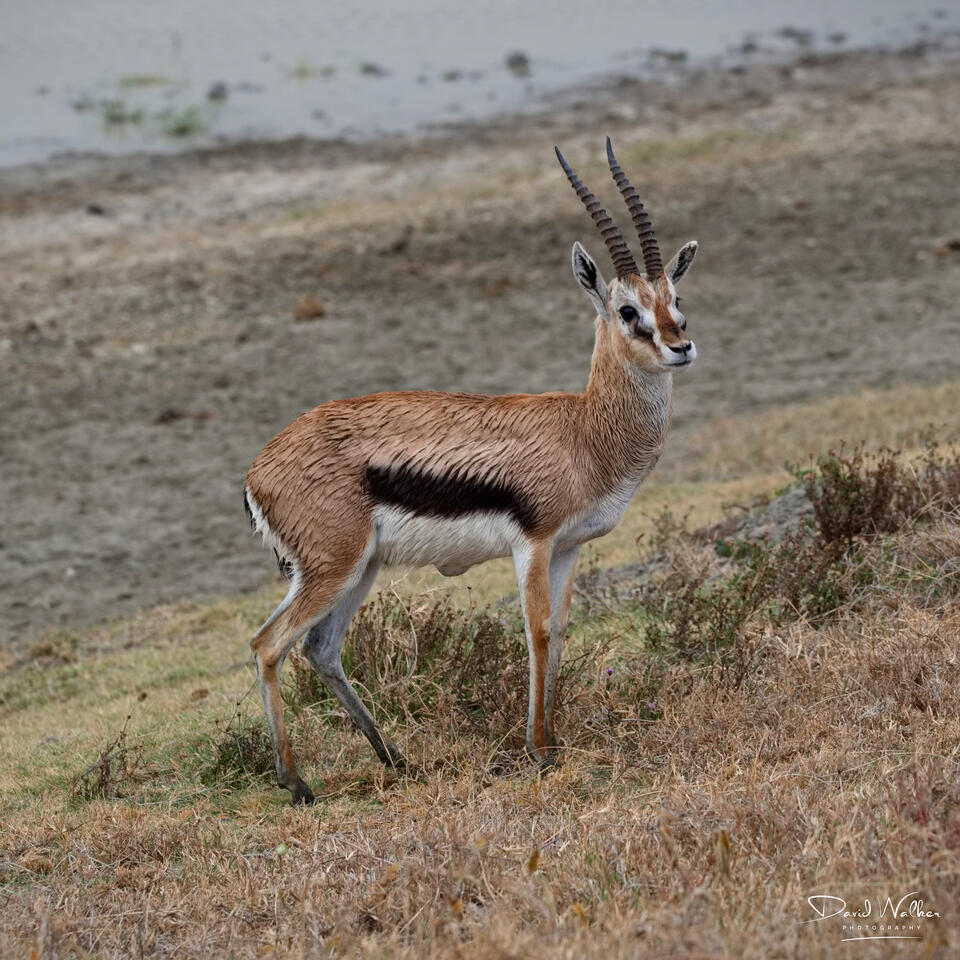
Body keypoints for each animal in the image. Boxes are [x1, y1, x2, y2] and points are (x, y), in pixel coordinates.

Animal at [244, 138, 699, 804]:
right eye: (626, 310)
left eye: (676, 301)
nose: (680, 346)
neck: (585, 432)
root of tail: (258, 469)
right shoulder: (533, 543)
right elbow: (537, 631)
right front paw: (539, 751)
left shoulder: (569, 547)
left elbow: (561, 632)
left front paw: (555, 740)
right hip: (332, 568)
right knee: (268, 644)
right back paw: (296, 782)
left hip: (359, 568)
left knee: (321, 649)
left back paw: (394, 759)